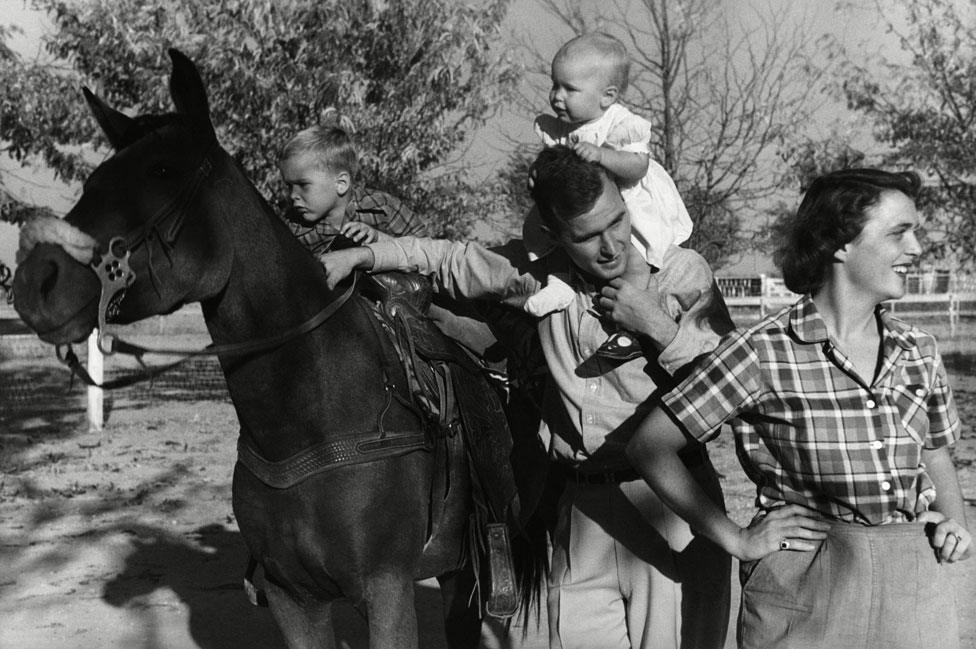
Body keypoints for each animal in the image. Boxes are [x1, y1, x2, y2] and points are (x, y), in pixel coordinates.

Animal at [15, 50, 544, 648]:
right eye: (95, 179)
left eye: (161, 172)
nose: (35, 281)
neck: (310, 415)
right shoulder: (294, 598)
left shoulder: (387, 590)